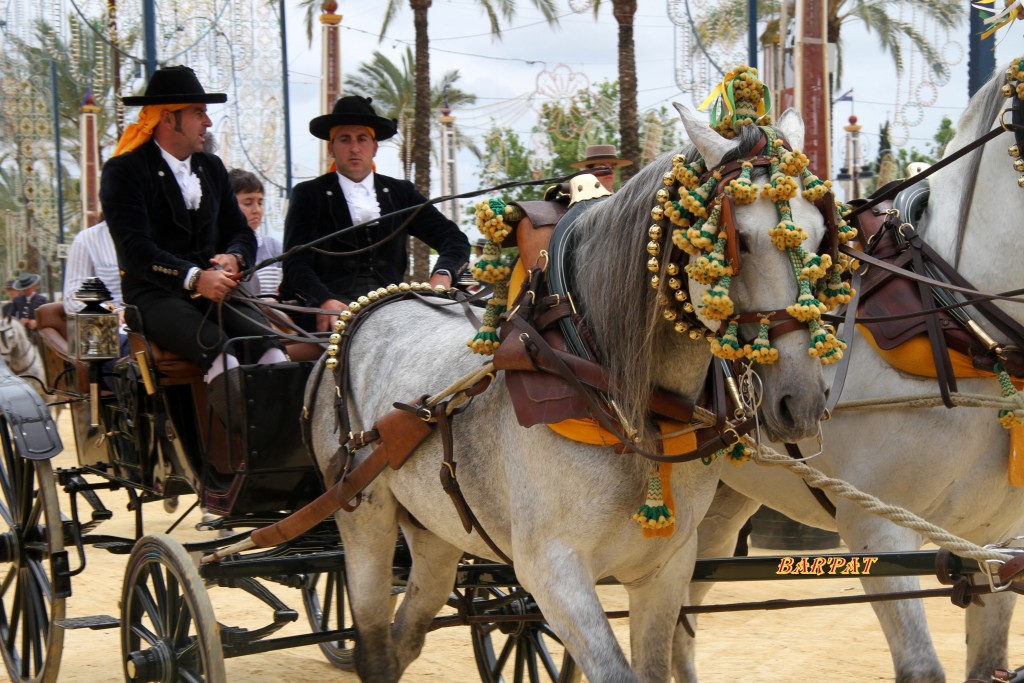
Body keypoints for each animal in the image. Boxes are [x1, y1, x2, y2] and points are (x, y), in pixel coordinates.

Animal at [307, 108, 835, 683]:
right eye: (741, 239)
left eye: (819, 237)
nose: (803, 401)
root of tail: (366, 310)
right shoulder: (552, 571)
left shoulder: (666, 569)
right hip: (366, 522)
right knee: (375, 642)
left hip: (434, 532)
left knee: (406, 630)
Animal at [679, 61, 1024, 679]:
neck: (960, 323)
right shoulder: (877, 530)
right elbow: (922, 666)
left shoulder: (999, 544)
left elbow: (990, 662)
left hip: (719, 503)